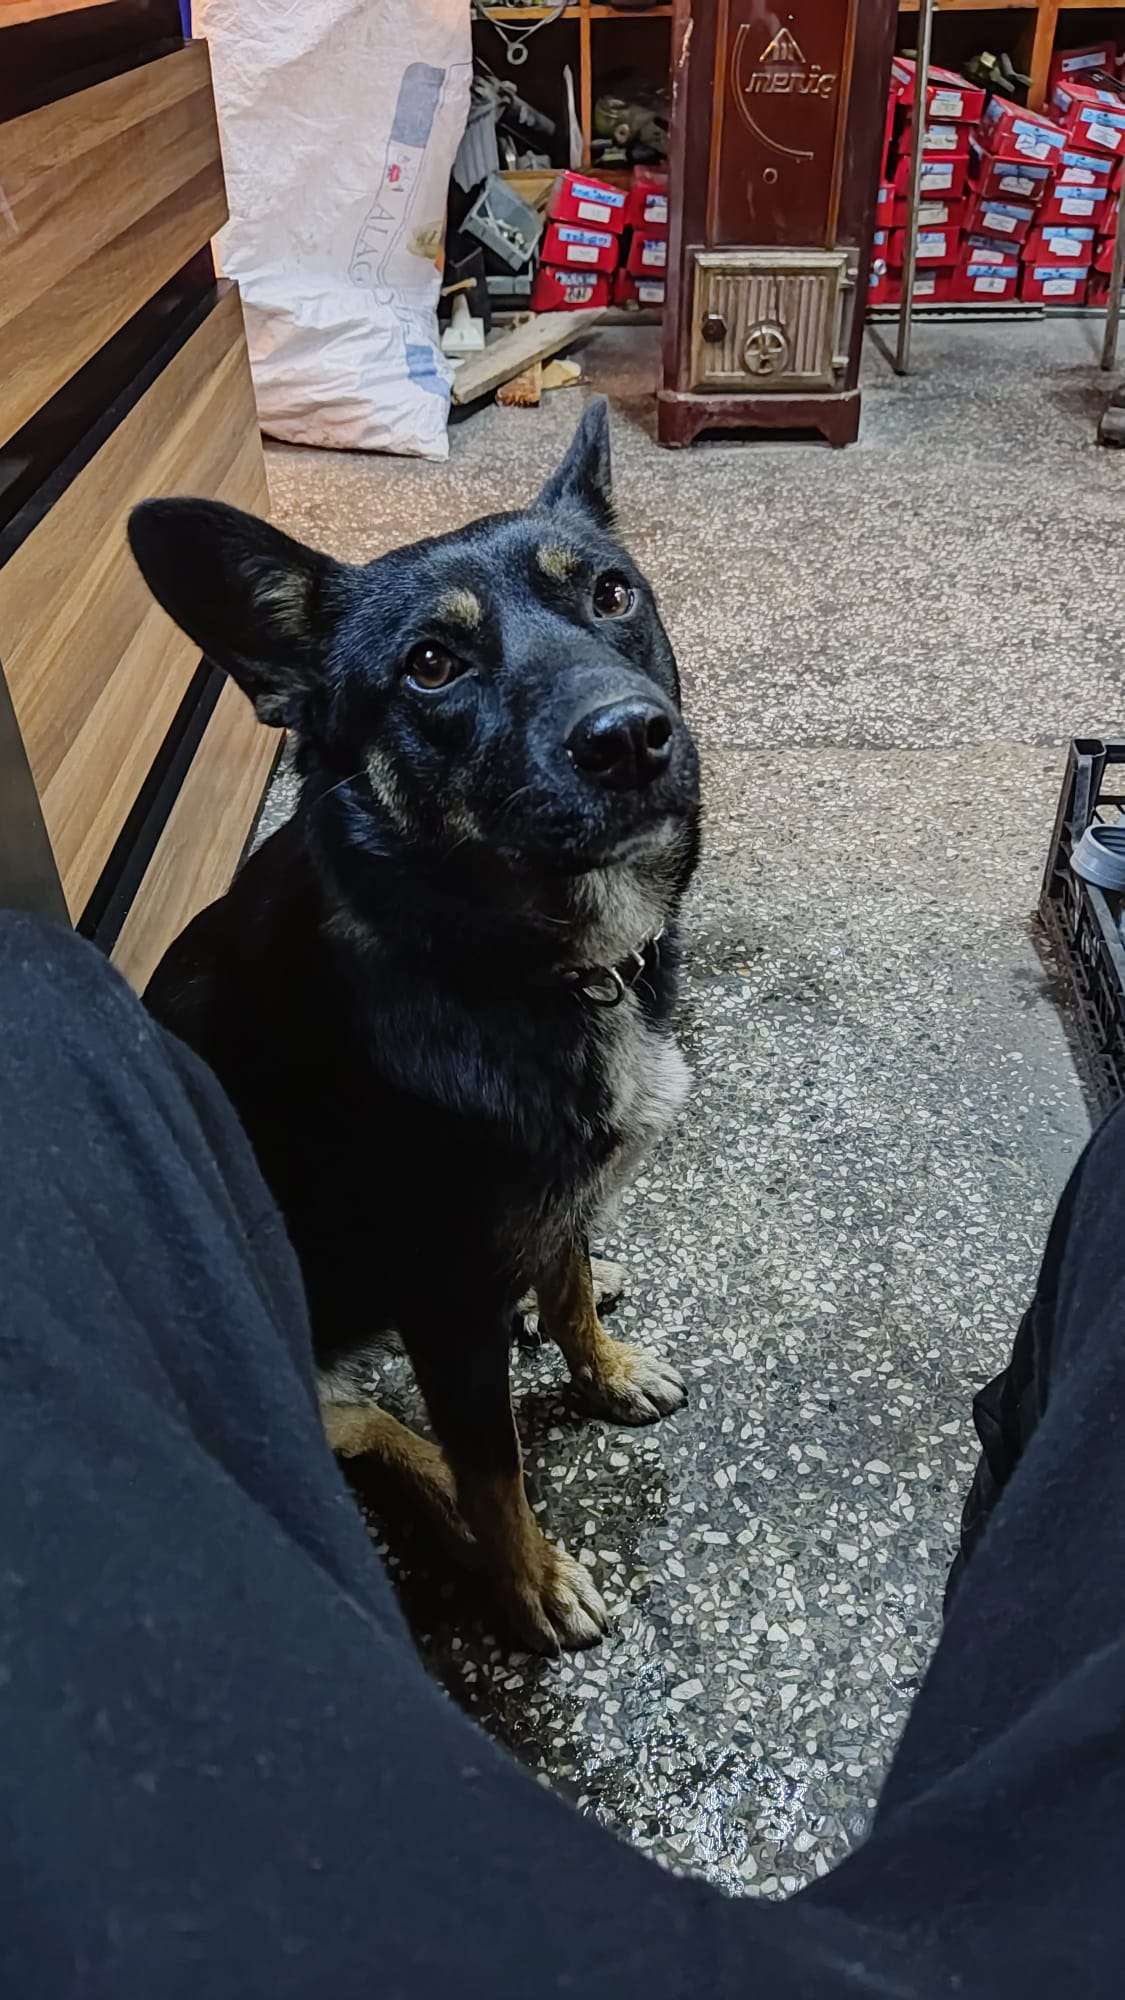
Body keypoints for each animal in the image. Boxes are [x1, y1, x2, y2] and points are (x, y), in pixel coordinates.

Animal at [130, 400, 701, 1654]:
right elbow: (495, 1466)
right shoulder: (443, 1302)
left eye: (612, 594)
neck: (521, 963)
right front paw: (528, 1578)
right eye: (432, 665)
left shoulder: (551, 1183)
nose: (631, 738)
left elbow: (569, 1281)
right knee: (374, 1432)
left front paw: (599, 1362)